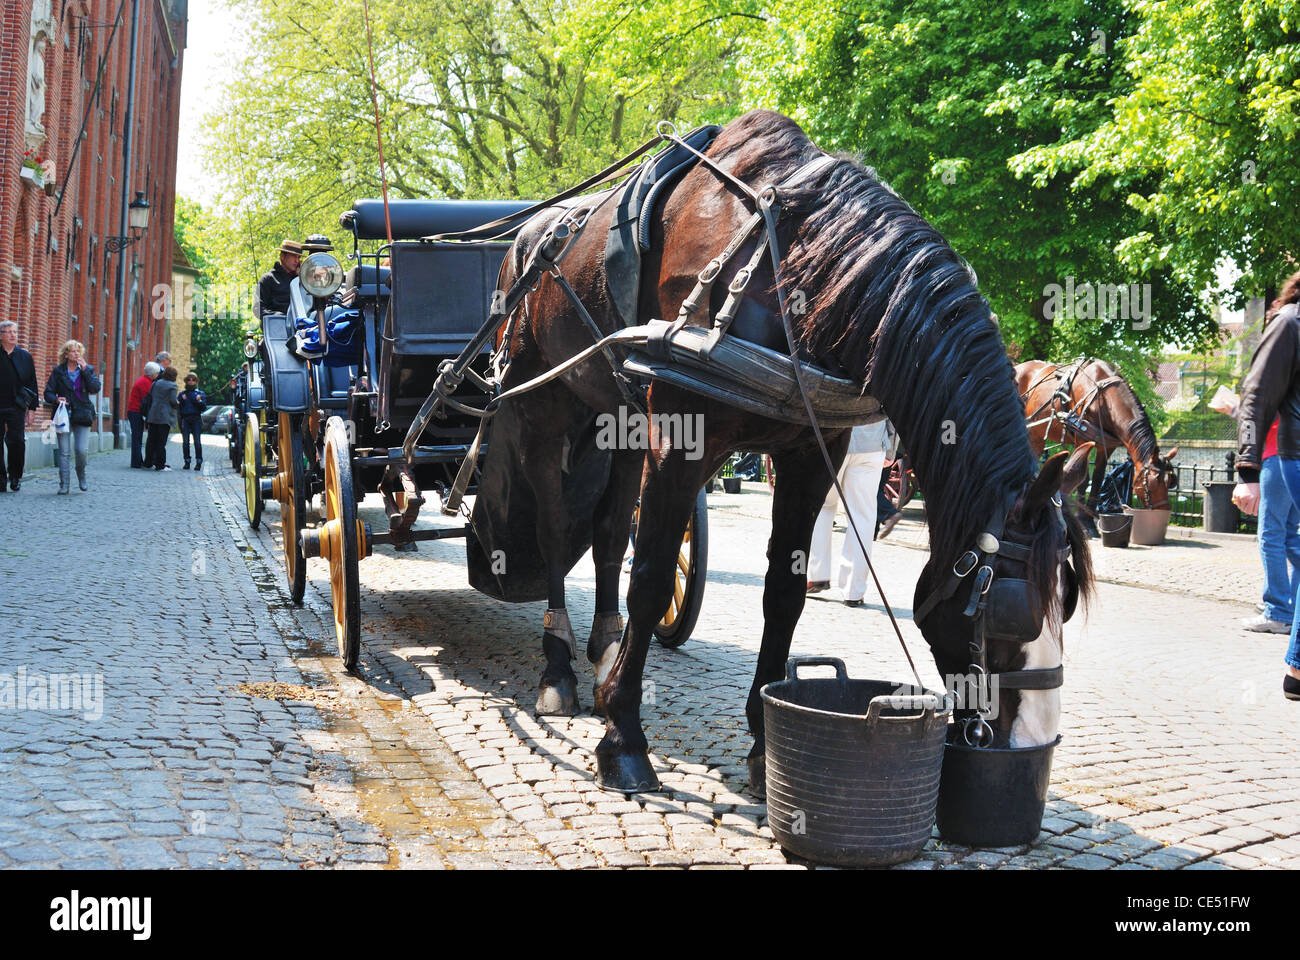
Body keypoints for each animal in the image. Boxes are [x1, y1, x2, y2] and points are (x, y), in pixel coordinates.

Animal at [491, 108, 1092, 790]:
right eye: (1010, 615)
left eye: (1067, 606)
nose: (1035, 738)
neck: (786, 267)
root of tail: (529, 233)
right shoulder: (681, 437)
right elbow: (652, 577)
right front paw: (623, 736)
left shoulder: (810, 453)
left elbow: (785, 591)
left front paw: (761, 739)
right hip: (544, 406)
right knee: (555, 527)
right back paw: (559, 669)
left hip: (620, 418)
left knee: (611, 532)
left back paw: (603, 654)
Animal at [1013, 359, 1180, 522]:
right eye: (1152, 483)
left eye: (1170, 481)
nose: (1164, 514)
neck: (1103, 399)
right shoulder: (1081, 440)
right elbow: (1084, 480)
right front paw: (1083, 519)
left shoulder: (1106, 446)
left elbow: (1097, 480)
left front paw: (1089, 518)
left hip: (1036, 434)